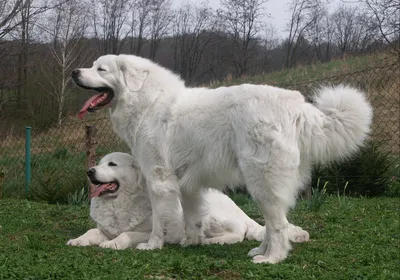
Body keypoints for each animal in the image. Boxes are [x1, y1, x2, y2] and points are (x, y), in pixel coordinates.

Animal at [66, 153, 310, 249]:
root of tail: (241, 212)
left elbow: (127, 234)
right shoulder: (105, 228)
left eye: (112, 164)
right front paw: (78, 240)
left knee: (237, 234)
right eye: (99, 163)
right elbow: (92, 231)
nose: (90, 171)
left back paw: (210, 241)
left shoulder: (147, 232)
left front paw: (113, 244)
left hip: (209, 214)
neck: (119, 203)